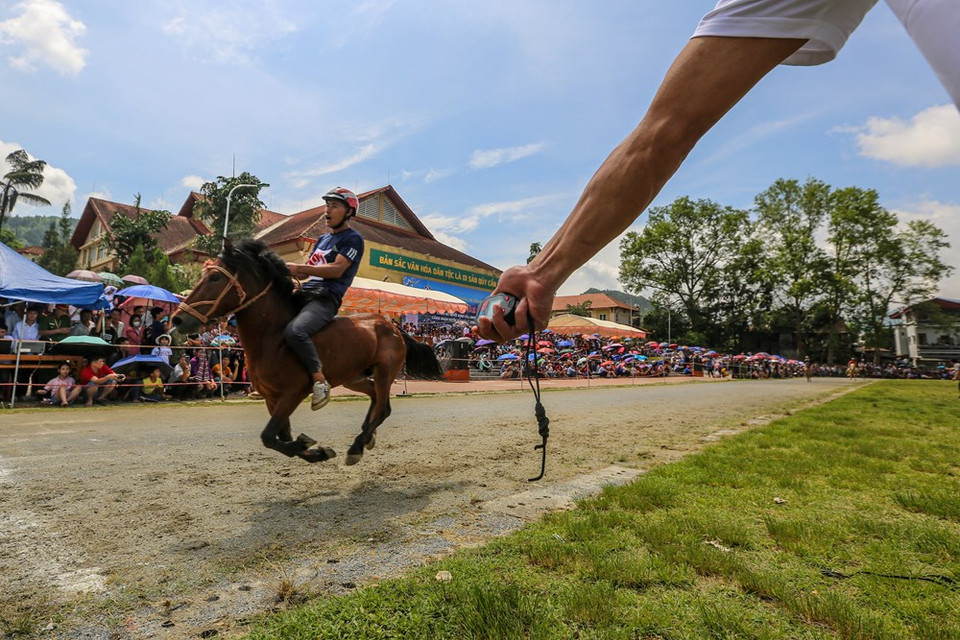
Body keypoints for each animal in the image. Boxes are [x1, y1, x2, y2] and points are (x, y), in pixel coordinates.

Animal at [171, 238, 444, 465]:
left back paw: (357, 445)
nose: (178, 319)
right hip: (354, 377)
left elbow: (269, 436)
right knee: (375, 399)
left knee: (384, 408)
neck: (273, 338)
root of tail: (392, 326)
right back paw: (367, 435)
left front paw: (309, 445)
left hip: (385, 372)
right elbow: (279, 437)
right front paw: (315, 451)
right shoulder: (271, 397)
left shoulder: (293, 393)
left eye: (215, 278)